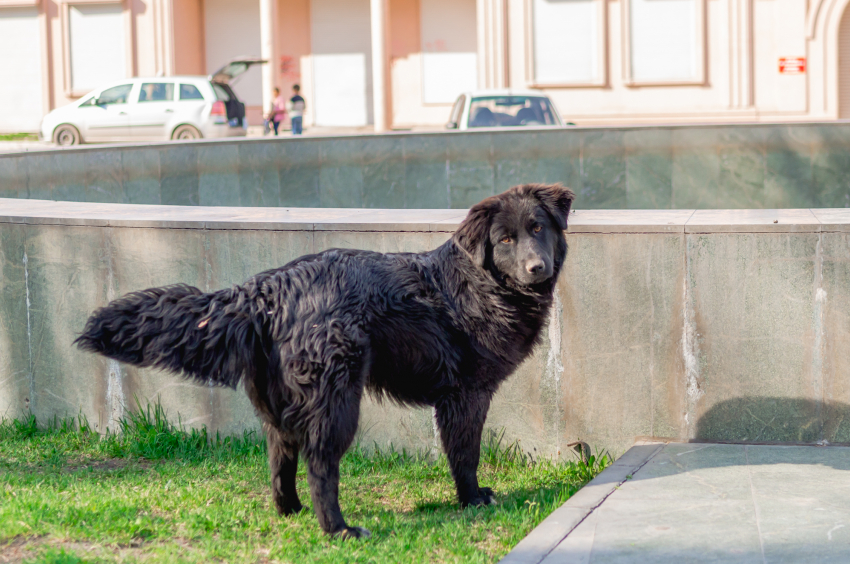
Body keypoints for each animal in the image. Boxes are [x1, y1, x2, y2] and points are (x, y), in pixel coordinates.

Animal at [74, 184, 576, 536]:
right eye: (505, 239)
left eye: (538, 229)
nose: (536, 268)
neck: (482, 283)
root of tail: (268, 289)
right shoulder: (466, 394)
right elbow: (465, 455)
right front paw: (471, 500)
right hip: (336, 402)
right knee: (320, 465)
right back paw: (338, 529)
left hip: (279, 408)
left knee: (280, 461)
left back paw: (291, 512)